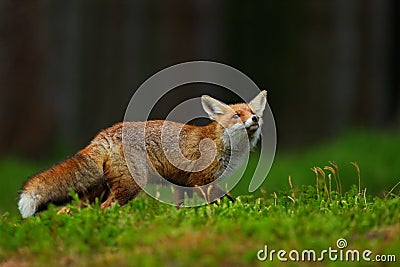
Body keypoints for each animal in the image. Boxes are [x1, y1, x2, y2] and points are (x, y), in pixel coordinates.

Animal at [19, 91, 268, 219]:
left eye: (252, 112)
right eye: (237, 115)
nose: (255, 119)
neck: (221, 144)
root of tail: (102, 135)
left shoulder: (183, 184)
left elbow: (180, 207)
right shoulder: (201, 181)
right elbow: (227, 200)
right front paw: (247, 211)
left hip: (97, 192)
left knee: (69, 209)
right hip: (128, 187)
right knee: (105, 209)